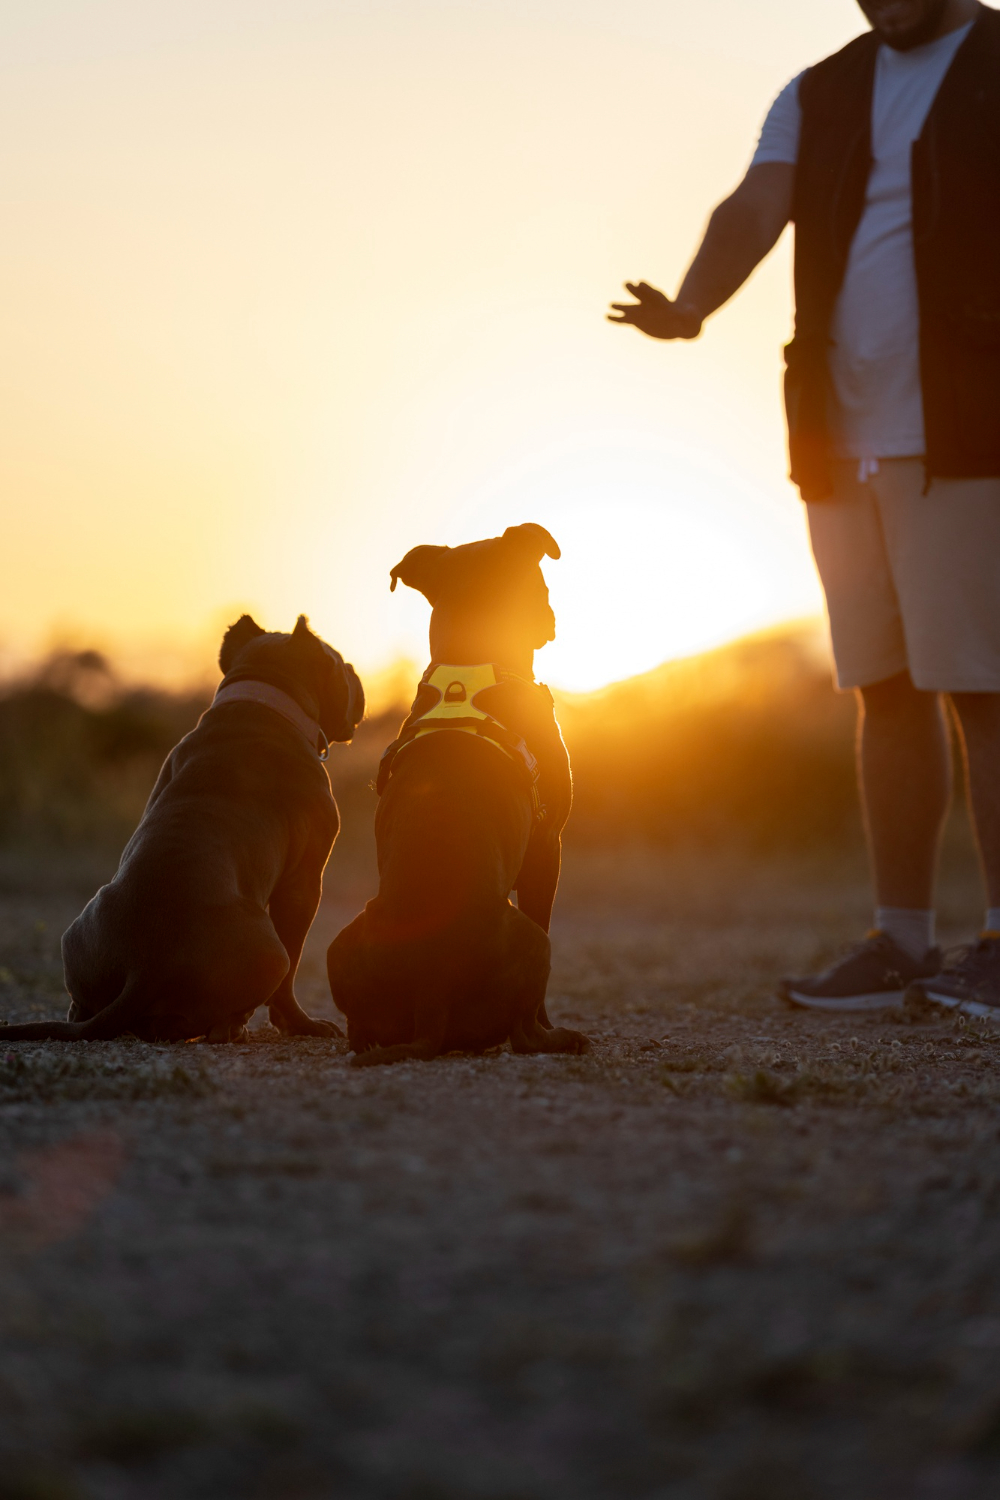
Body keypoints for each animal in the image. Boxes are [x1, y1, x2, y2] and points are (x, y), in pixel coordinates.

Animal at [0, 612, 364, 1044]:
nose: (355, 668)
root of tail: (143, 969)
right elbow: (292, 970)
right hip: (270, 950)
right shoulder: (303, 885)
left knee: (85, 1009)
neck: (261, 699)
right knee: (235, 1007)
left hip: (79, 933)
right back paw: (234, 1027)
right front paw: (301, 1024)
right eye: (339, 662)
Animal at [328, 522, 590, 1062]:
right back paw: (562, 1038)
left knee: (359, 1028)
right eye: (541, 584)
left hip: (340, 944)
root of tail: (431, 985)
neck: (471, 661)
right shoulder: (547, 844)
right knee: (525, 1030)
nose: (551, 618)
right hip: (534, 942)